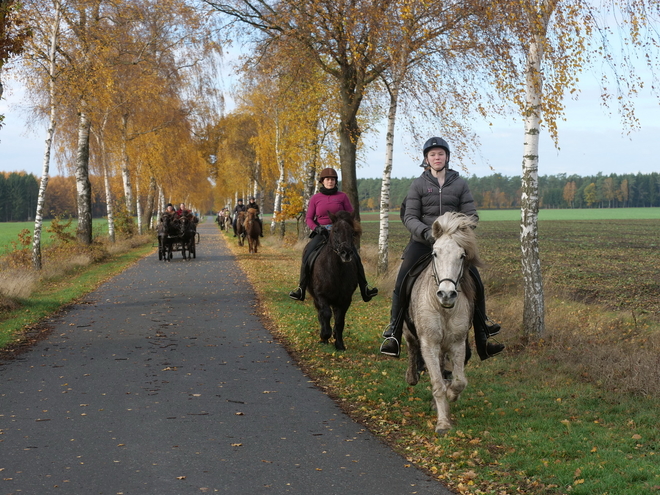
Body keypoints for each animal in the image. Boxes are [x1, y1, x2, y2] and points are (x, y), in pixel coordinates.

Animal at [308, 211, 360, 350]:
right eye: (335, 230)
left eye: (352, 232)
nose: (346, 253)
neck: (336, 271)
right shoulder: (321, 296)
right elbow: (325, 314)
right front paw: (325, 336)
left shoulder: (345, 299)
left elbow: (340, 320)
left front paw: (339, 344)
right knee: (321, 313)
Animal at [402, 211, 480, 436]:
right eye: (435, 253)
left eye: (462, 256)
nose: (446, 294)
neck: (444, 309)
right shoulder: (429, 344)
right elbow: (437, 383)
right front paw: (443, 423)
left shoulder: (457, 343)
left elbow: (459, 381)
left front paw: (452, 394)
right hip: (409, 333)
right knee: (411, 347)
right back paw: (412, 376)